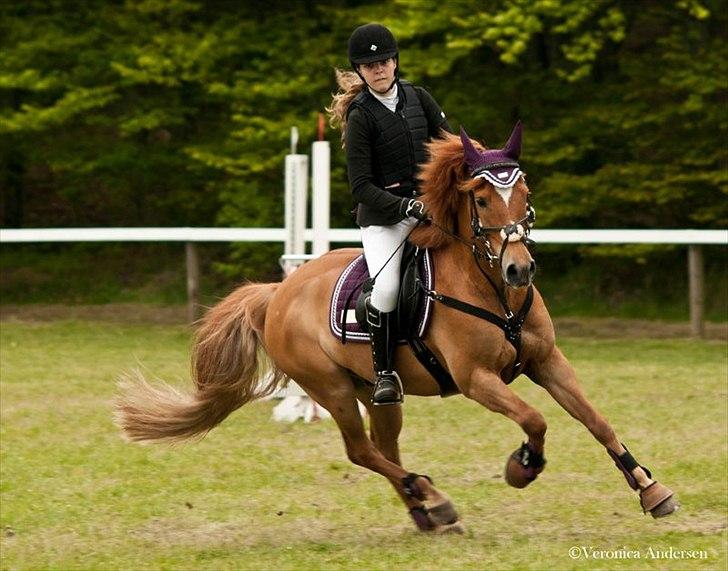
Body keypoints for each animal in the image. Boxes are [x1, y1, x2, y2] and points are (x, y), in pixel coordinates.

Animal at [115, 123, 678, 533]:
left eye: (524, 191)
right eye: (480, 200)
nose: (520, 269)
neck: (492, 289)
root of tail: (278, 294)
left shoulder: (547, 361)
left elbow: (595, 420)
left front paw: (650, 489)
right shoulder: (477, 380)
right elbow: (535, 419)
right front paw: (522, 467)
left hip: (376, 390)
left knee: (383, 448)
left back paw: (424, 511)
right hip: (331, 389)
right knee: (361, 451)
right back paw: (432, 496)